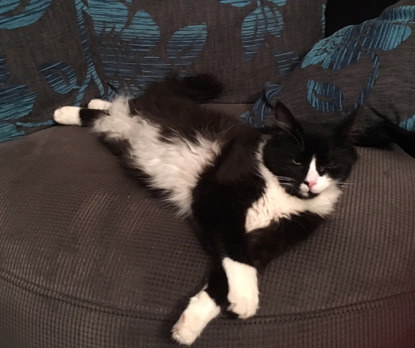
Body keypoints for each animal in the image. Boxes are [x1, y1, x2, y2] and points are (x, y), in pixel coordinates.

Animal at [52, 74, 358, 346]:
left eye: (329, 166)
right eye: (296, 161)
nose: (310, 182)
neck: (282, 194)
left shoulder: (274, 237)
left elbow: (223, 278)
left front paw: (190, 325)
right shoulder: (216, 200)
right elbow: (235, 251)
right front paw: (246, 297)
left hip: (116, 132)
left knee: (111, 110)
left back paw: (93, 102)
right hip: (131, 118)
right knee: (115, 108)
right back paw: (65, 112)